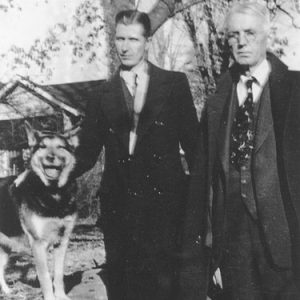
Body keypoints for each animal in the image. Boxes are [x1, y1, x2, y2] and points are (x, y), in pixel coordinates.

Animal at [0, 122, 78, 300]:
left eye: (60, 147)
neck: (53, 192)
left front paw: (61, 296)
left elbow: (58, 275)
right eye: (42, 147)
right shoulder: (38, 244)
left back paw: (7, 291)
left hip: (5, 248)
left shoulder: (62, 242)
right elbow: (45, 277)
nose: (50, 157)